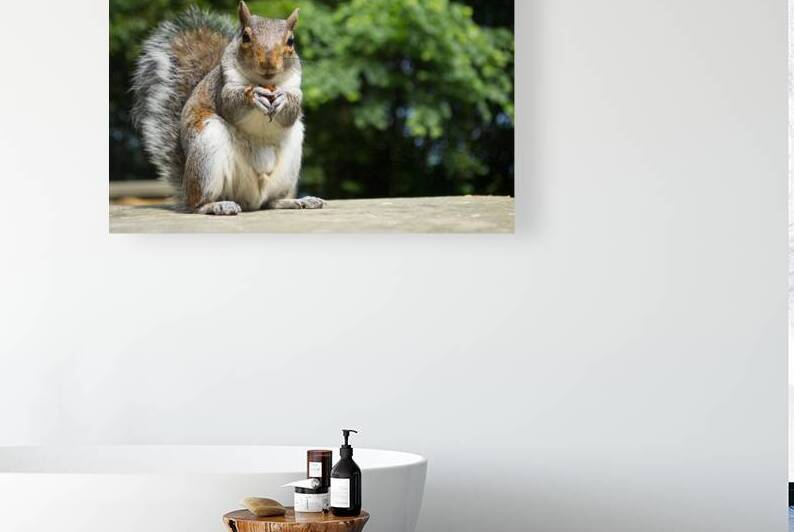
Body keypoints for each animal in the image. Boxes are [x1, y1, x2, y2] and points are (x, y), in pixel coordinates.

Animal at [131, 2, 324, 215]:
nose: (268, 63)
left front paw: (284, 100)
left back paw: (297, 201)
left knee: (270, 202)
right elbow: (231, 105)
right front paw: (253, 95)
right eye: (245, 37)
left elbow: (291, 112)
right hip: (207, 149)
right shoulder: (223, 87)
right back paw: (216, 205)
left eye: (291, 41)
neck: (265, 83)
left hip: (289, 163)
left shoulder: (295, 86)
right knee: (197, 204)